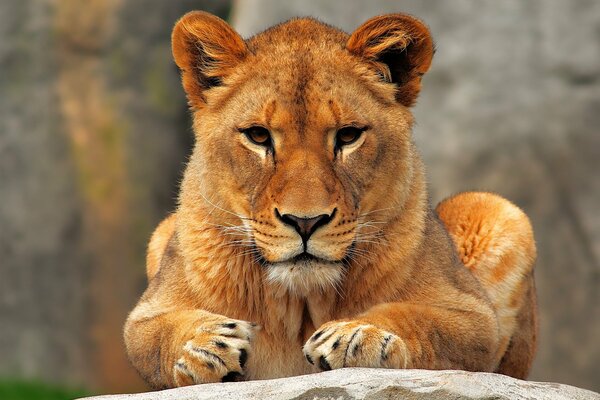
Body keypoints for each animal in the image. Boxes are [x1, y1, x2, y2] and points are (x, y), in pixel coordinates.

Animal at [124, 10, 536, 390]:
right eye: (258, 136)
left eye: (348, 135)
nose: (305, 222)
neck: (302, 304)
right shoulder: (147, 313)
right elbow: (156, 334)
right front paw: (203, 344)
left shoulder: (473, 315)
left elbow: (419, 319)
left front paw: (358, 333)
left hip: (497, 210)